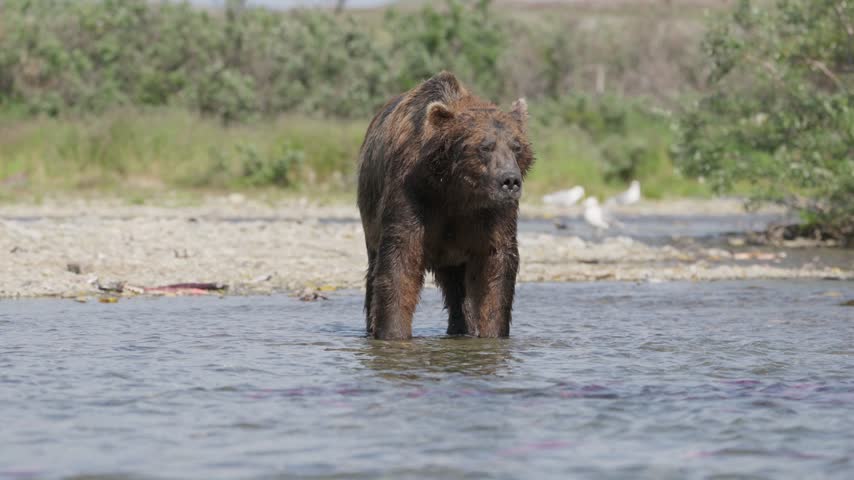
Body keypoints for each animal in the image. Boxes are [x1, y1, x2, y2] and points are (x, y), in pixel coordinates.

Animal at [357, 71, 533, 340]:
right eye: (485, 146)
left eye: (517, 146)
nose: (510, 181)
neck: (455, 191)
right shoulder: (413, 194)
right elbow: (400, 261)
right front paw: (393, 333)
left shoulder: (493, 214)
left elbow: (497, 265)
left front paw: (493, 333)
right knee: (374, 270)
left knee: (458, 289)